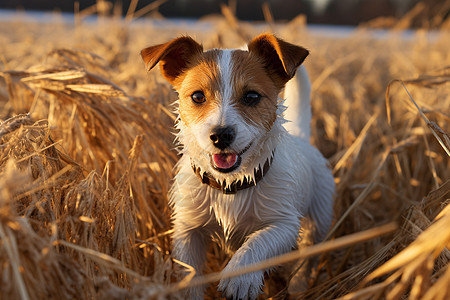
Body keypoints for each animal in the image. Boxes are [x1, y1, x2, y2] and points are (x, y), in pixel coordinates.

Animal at [141, 33, 334, 300]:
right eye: (197, 96)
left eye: (251, 97)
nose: (221, 135)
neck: (230, 186)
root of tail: (301, 137)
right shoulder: (188, 230)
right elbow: (190, 273)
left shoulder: (283, 223)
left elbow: (258, 242)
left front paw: (240, 277)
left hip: (318, 221)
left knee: (308, 258)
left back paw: (299, 286)